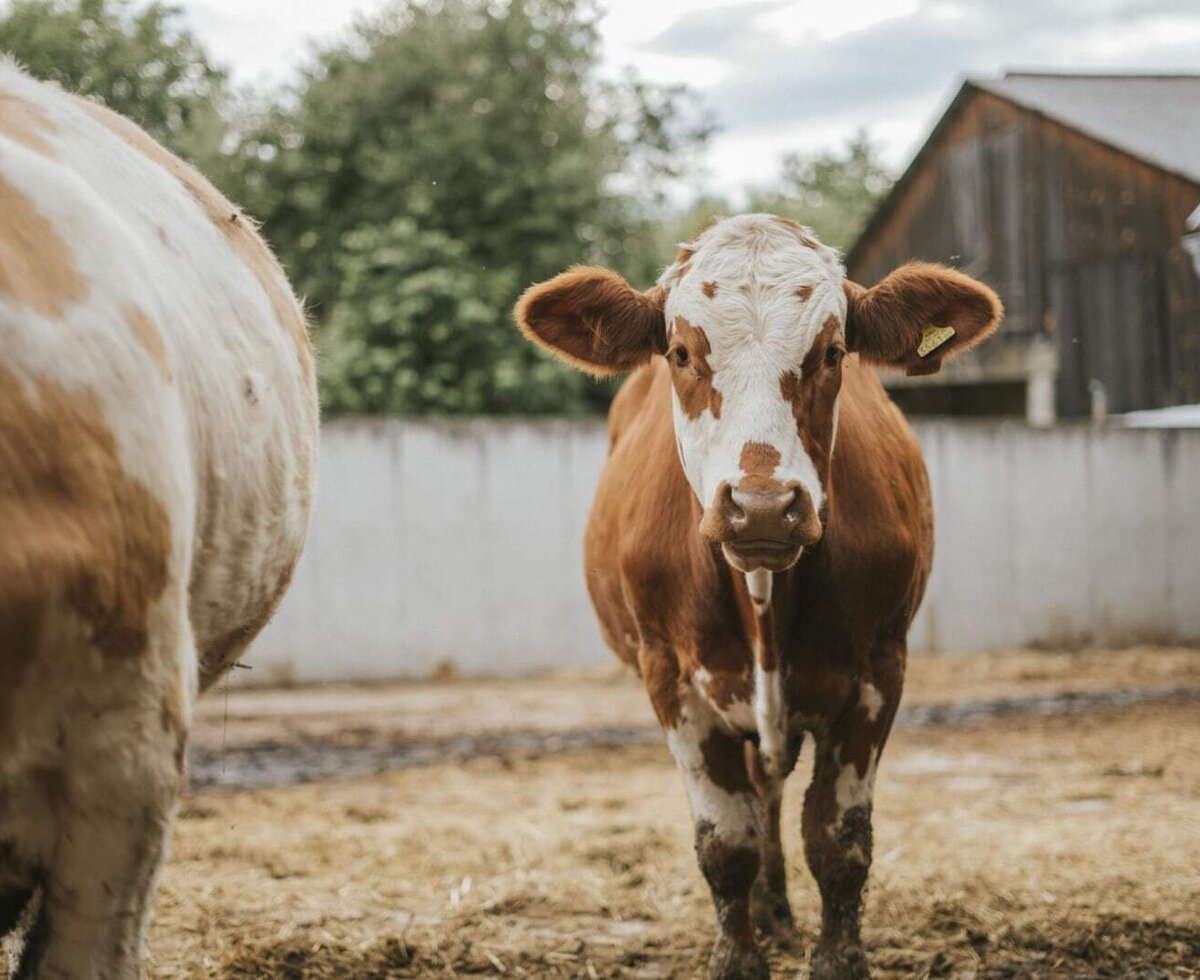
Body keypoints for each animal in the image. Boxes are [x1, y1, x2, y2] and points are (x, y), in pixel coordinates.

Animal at [515, 214, 1001, 979]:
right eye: (682, 351)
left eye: (833, 352)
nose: (763, 507)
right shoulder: (670, 676)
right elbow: (726, 839)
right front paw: (738, 956)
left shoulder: (879, 668)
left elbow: (838, 837)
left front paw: (836, 959)